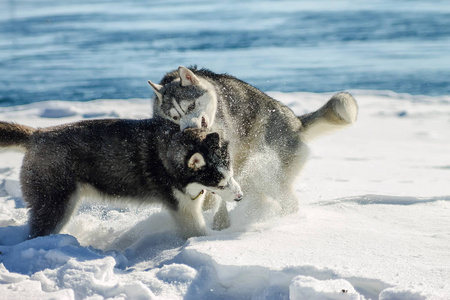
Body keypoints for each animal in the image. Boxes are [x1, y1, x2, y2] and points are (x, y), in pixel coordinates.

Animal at [0, 118, 243, 238]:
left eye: (231, 175)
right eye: (219, 182)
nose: (240, 197)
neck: (167, 154)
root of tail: (37, 134)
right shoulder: (182, 207)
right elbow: (195, 231)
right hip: (56, 203)